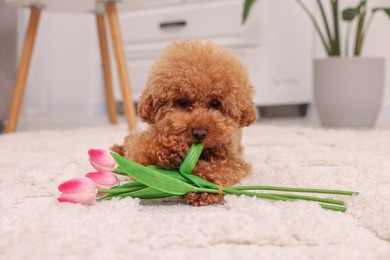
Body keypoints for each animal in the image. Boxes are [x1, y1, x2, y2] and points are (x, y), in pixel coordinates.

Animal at [112, 39, 258, 205]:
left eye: (215, 103)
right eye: (182, 102)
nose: (200, 133)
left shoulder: (234, 161)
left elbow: (221, 169)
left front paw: (203, 187)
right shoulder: (143, 148)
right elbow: (142, 154)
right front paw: (170, 150)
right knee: (129, 141)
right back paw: (117, 149)